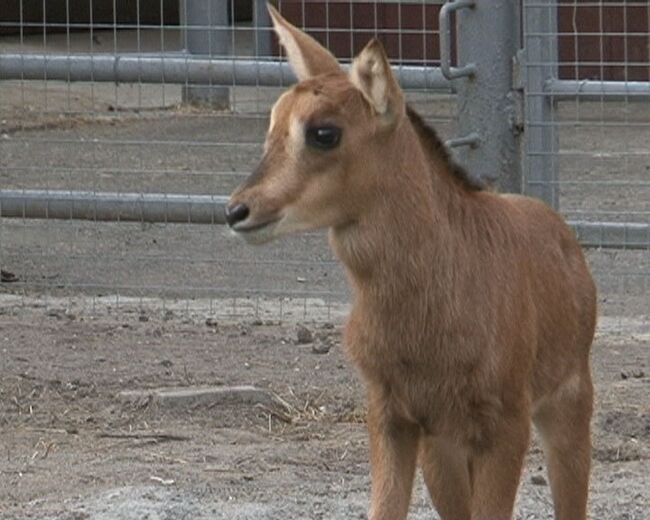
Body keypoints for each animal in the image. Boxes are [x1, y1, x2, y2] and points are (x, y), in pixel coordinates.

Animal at [225, 5, 596, 520]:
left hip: (567, 406)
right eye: (273, 125)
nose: (238, 211)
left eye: (323, 131)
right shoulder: (394, 415)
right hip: (443, 448)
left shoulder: (505, 423)